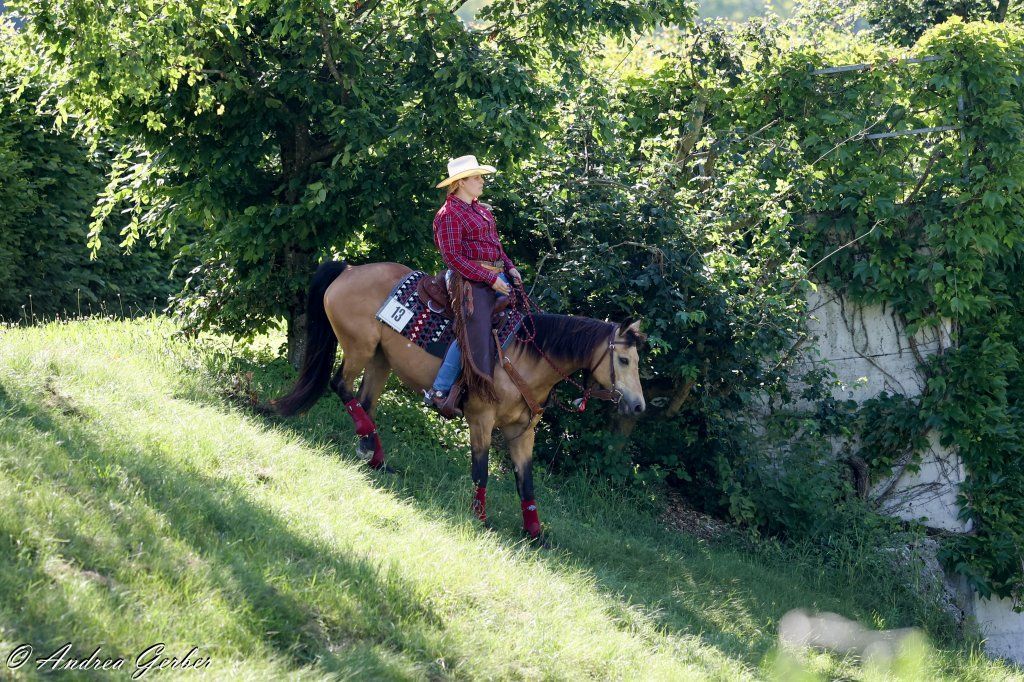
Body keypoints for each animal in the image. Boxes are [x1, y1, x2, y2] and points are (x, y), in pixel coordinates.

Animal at [271, 260, 646, 539]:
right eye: (623, 360)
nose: (639, 406)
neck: (526, 356)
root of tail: (349, 269)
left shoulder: (522, 432)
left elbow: (526, 483)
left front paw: (535, 534)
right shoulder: (481, 419)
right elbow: (480, 471)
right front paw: (479, 519)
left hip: (381, 359)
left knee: (365, 401)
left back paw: (374, 455)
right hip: (358, 347)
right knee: (340, 385)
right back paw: (368, 448)